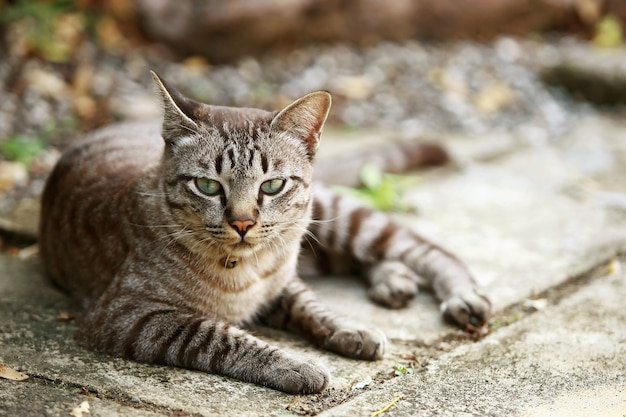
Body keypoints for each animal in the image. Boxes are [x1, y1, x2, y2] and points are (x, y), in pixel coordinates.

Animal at [39, 71, 490, 394]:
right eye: (208, 186)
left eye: (271, 185)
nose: (242, 222)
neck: (246, 270)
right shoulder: (127, 316)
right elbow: (220, 336)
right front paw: (297, 363)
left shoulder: (282, 281)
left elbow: (313, 306)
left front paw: (349, 328)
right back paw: (393, 281)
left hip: (337, 218)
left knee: (423, 250)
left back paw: (461, 295)